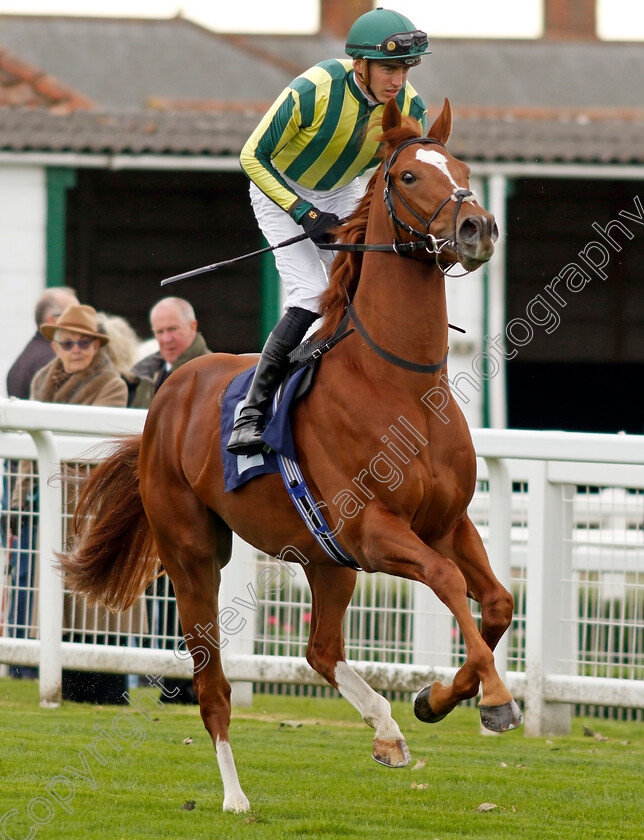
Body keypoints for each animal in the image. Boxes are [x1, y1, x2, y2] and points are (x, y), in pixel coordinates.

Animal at [59, 98, 524, 812]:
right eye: (410, 176)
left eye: (465, 170)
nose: (478, 227)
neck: (398, 383)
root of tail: (169, 393)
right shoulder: (374, 531)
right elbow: (448, 582)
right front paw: (495, 698)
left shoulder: (446, 522)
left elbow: (497, 601)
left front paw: (436, 698)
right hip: (194, 555)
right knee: (213, 685)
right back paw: (235, 797)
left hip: (324, 560)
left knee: (320, 649)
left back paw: (387, 730)